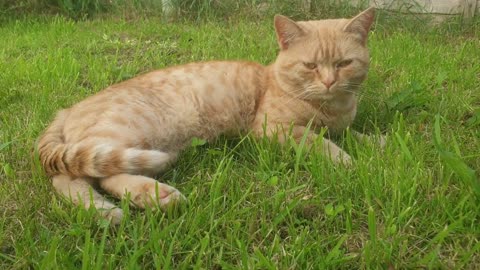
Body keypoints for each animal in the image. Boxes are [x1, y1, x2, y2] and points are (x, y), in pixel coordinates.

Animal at [36, 7, 376, 224]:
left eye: (344, 63)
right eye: (310, 66)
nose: (329, 81)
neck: (333, 108)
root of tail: (66, 110)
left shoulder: (342, 125)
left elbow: (354, 134)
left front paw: (377, 144)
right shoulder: (272, 128)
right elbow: (318, 141)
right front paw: (346, 161)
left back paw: (147, 199)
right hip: (126, 133)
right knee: (73, 178)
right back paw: (114, 209)